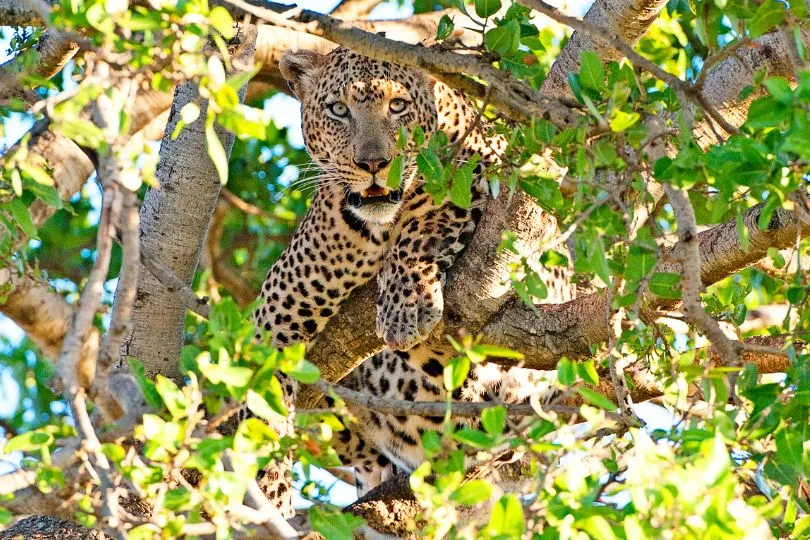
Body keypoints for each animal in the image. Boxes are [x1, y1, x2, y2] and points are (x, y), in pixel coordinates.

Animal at [249, 47, 572, 516]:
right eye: (339, 110)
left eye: (398, 106)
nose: (373, 164)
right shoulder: (277, 312)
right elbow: (259, 401)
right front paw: (265, 493)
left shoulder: (490, 172)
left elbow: (429, 214)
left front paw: (405, 309)